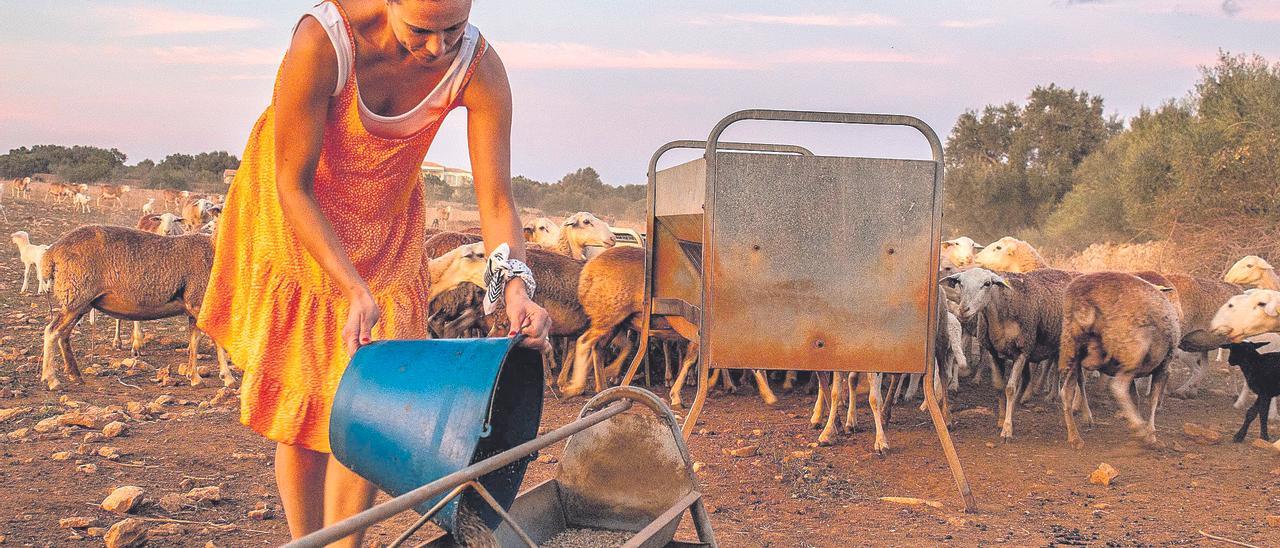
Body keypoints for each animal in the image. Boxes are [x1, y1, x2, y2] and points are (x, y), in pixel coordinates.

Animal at [38, 225, 235, 389]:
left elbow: (194, 341)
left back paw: (75, 375)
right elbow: (215, 341)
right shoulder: (197, 302)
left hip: (80, 302)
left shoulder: (194, 309)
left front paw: (195, 377)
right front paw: (228, 377)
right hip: (76, 295)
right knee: (52, 331)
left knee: (63, 335)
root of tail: (51, 255)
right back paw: (52, 379)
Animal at [942, 266, 1080, 440]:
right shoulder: (995, 353)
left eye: (987, 283)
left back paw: (1074, 407)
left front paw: (1007, 429)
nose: (963, 309)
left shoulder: (1022, 351)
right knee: (1040, 373)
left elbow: (1010, 389)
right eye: (960, 282)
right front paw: (1002, 419)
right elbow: (999, 387)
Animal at [1059, 270, 1177, 450]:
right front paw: (1150, 433)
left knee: (1066, 392)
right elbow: (1152, 401)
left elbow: (1135, 397)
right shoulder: (1163, 366)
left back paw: (1075, 437)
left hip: (1072, 348)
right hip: (1133, 347)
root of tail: (1086, 300)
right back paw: (1140, 430)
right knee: (1118, 387)